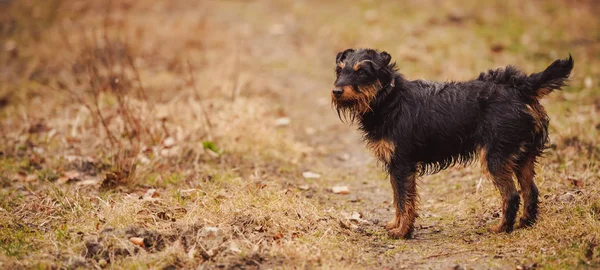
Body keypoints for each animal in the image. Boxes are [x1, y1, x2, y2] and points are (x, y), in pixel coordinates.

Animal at [330, 48, 576, 238]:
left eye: (362, 71)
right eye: (339, 70)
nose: (336, 91)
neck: (388, 99)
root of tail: (521, 88)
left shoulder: (402, 165)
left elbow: (405, 201)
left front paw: (403, 232)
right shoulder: (395, 167)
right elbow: (397, 198)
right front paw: (395, 225)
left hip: (496, 158)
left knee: (512, 195)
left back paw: (501, 228)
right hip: (523, 156)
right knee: (530, 191)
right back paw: (525, 224)